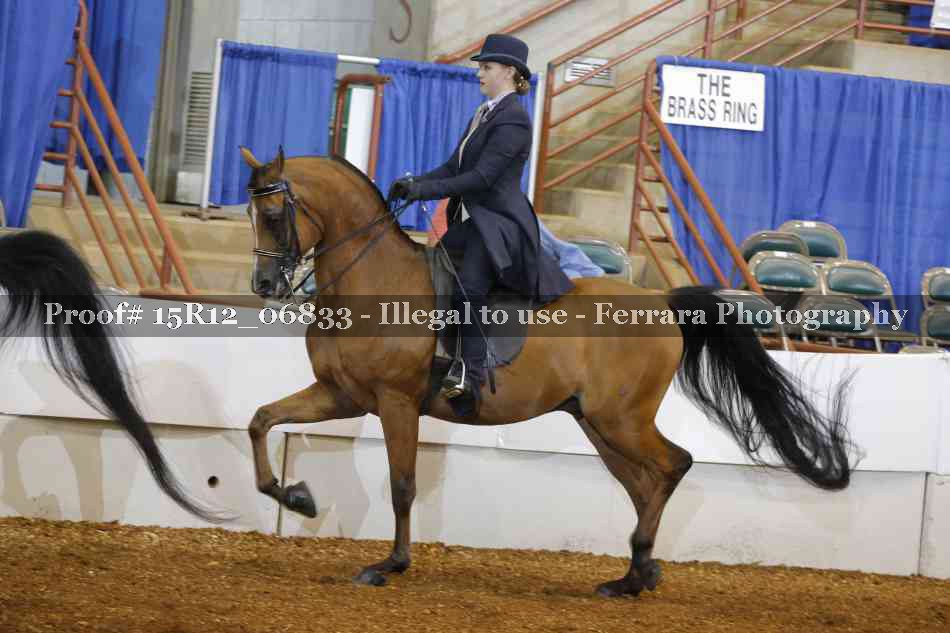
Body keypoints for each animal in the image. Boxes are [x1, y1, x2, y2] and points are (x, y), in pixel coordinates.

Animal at [241, 146, 856, 596]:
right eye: (251, 215)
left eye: (272, 215)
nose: (264, 286)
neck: (373, 279)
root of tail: (662, 300)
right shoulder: (341, 394)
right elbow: (261, 419)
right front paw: (294, 496)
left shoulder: (396, 403)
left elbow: (402, 485)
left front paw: (388, 565)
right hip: (597, 422)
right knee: (644, 482)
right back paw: (633, 575)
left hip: (621, 419)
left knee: (672, 465)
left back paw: (638, 572)